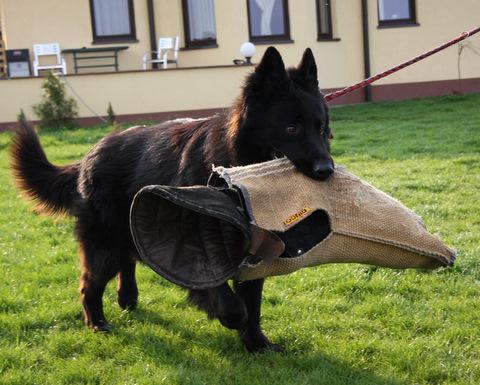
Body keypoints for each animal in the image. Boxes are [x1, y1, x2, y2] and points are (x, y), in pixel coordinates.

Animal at [12, 46, 334, 352]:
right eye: (291, 128)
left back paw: (127, 298)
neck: (231, 164)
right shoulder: (196, 249)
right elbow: (231, 302)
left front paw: (256, 344)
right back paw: (97, 322)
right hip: (105, 242)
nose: (327, 170)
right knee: (89, 283)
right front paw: (232, 319)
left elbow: (252, 303)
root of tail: (87, 156)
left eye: (321, 129)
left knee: (127, 261)